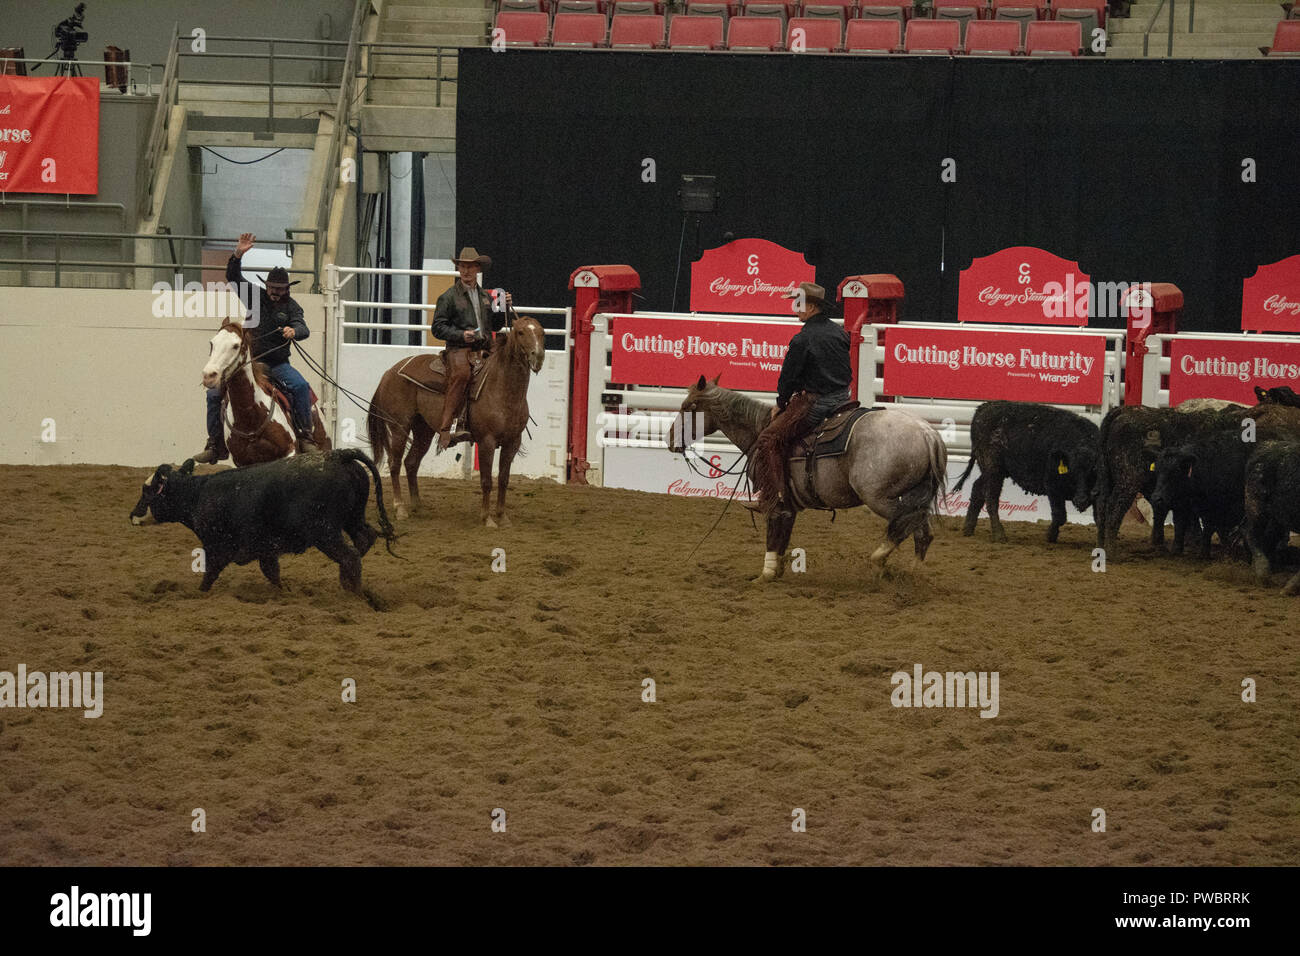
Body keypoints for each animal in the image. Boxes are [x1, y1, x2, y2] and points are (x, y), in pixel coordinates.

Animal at [366, 315, 547, 527]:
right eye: (520, 332)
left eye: (542, 333)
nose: (538, 356)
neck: (502, 388)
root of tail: (389, 372)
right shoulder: (486, 441)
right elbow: (487, 481)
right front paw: (487, 519)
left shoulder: (513, 442)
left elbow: (503, 480)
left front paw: (503, 517)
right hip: (399, 427)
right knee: (395, 464)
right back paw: (400, 508)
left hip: (423, 430)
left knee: (411, 463)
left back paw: (418, 506)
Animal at [666, 375, 949, 582]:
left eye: (687, 407)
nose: (670, 439)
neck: (759, 429)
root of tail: (927, 434)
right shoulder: (789, 505)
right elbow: (783, 535)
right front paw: (777, 569)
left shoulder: (773, 499)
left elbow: (773, 532)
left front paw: (765, 574)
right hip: (913, 496)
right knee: (922, 532)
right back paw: (912, 573)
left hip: (879, 498)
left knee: (907, 525)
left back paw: (879, 562)